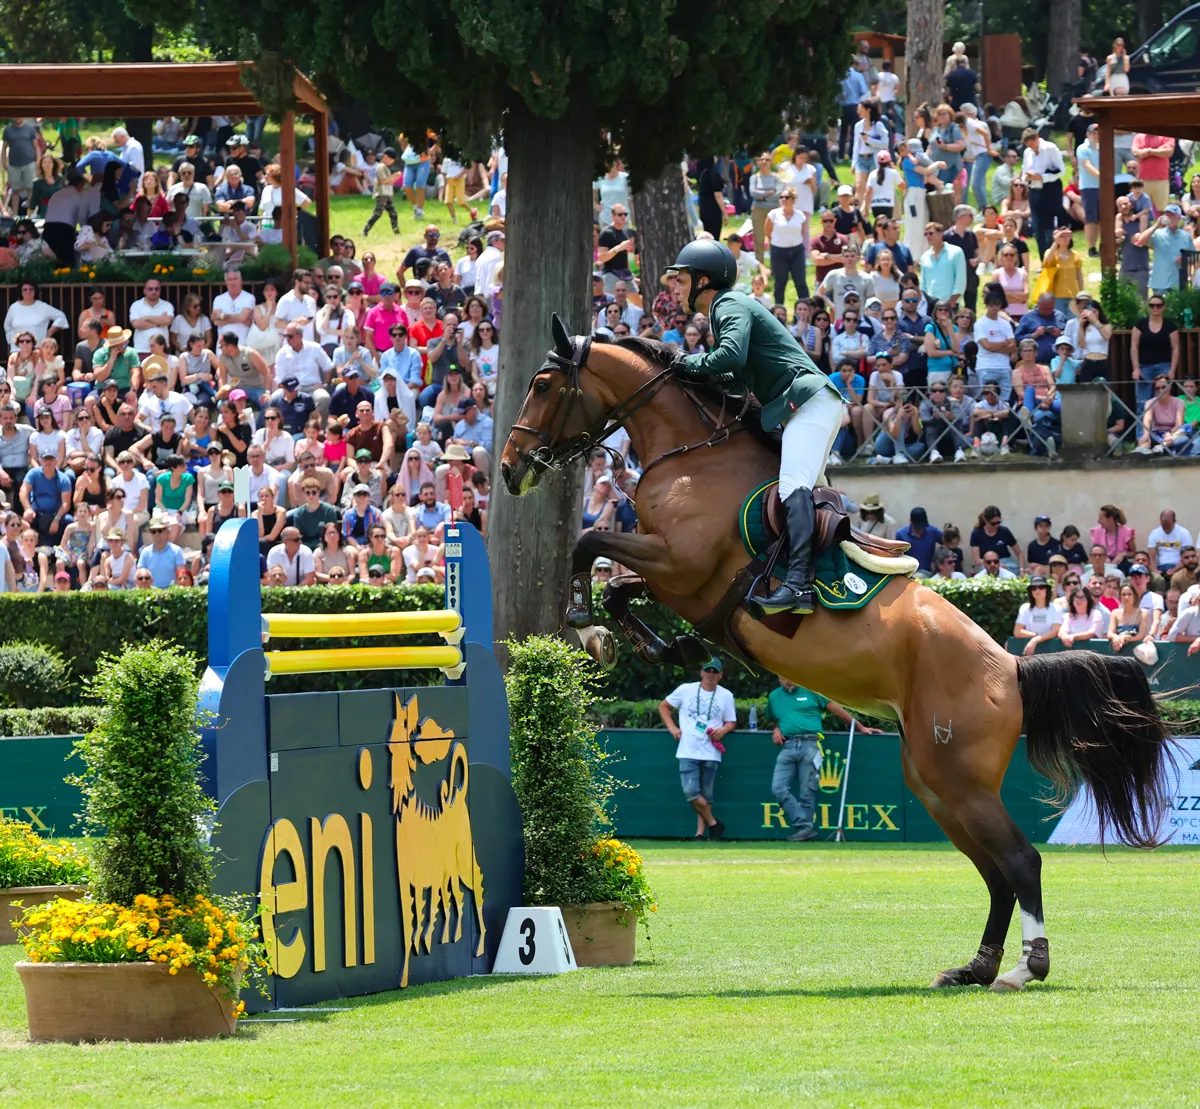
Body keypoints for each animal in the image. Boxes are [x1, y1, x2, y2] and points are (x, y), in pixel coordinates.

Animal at [499, 317, 1172, 992]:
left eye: (542, 384)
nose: (508, 469)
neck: (692, 457)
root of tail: (1010, 667)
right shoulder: (674, 577)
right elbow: (617, 582)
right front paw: (643, 641)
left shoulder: (681, 564)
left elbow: (590, 542)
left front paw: (586, 622)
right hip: (933, 781)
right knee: (994, 870)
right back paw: (975, 966)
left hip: (957, 776)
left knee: (1020, 859)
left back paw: (1024, 968)